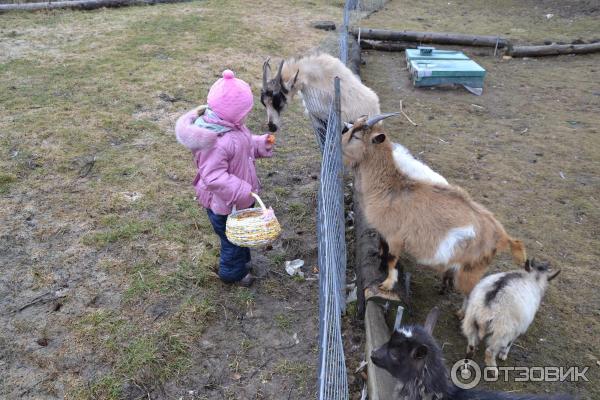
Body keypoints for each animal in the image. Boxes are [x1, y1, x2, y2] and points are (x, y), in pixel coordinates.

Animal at [342, 114, 524, 314]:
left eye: (356, 136)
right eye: (351, 127)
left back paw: (461, 314)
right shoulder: (384, 232)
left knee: (472, 292)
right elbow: (383, 250)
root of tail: (503, 237)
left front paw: (387, 284)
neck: (390, 188)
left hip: (471, 270)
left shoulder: (396, 237)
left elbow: (392, 259)